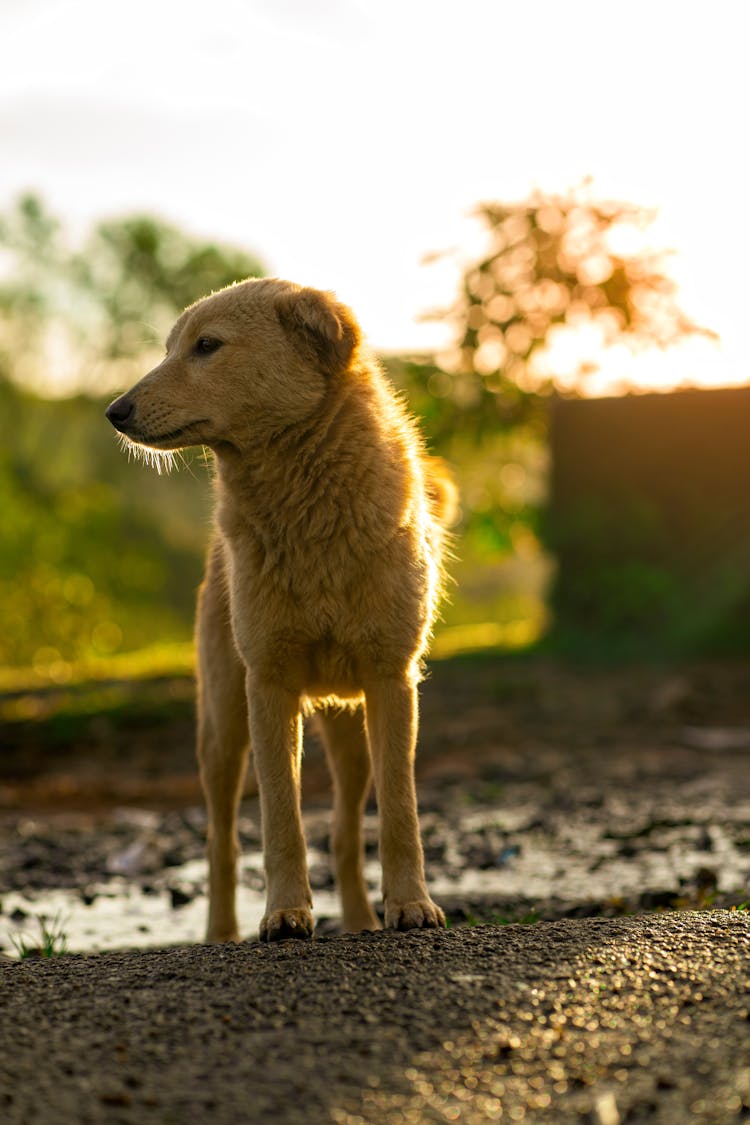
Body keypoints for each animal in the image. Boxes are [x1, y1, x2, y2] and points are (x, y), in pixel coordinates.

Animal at [105, 276, 454, 945]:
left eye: (206, 346)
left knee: (344, 832)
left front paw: (410, 906)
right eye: (169, 349)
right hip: (221, 730)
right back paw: (221, 934)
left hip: (351, 731)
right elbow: (279, 820)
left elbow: (400, 814)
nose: (114, 411)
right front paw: (286, 913)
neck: (310, 515)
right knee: (221, 843)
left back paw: (362, 920)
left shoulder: (393, 681)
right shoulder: (267, 686)